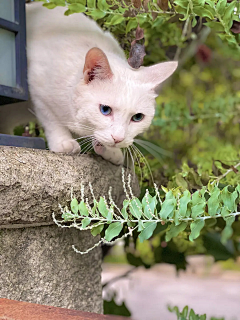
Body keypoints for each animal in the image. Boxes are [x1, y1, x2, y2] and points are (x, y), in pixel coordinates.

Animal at [26, 3, 177, 165]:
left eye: (137, 117)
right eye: (105, 110)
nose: (118, 139)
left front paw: (111, 151)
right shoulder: (39, 92)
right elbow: (52, 121)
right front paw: (63, 142)